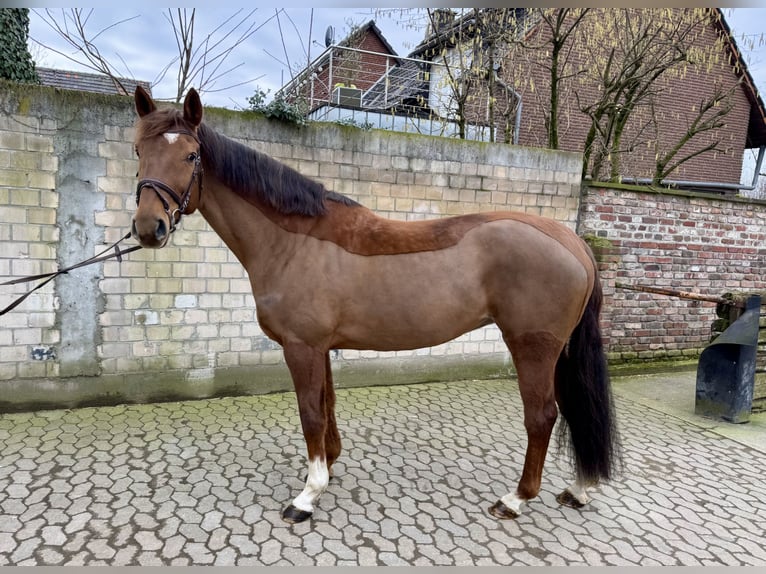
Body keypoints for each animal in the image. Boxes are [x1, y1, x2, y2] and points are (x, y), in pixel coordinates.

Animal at [130, 86, 616, 528]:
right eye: (138, 149)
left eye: (191, 155)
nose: (149, 228)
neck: (294, 241)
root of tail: (572, 241)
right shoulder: (320, 347)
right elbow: (326, 406)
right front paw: (329, 465)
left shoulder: (301, 347)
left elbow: (310, 413)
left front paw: (306, 497)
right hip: (558, 352)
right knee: (575, 408)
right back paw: (578, 489)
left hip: (533, 347)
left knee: (542, 416)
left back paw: (514, 499)